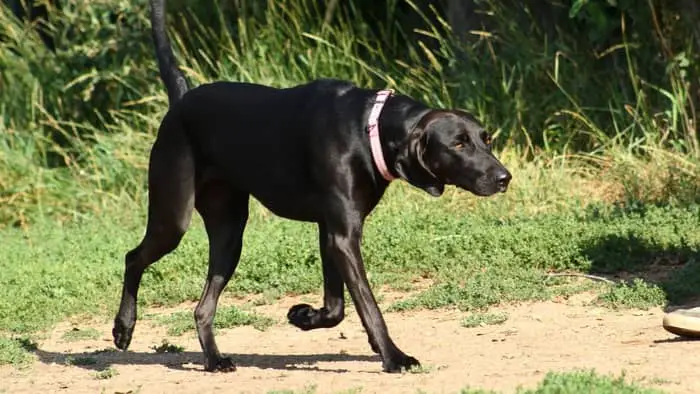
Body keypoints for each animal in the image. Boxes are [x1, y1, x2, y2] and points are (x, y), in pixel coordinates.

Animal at [112, 0, 512, 372]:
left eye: (485, 139)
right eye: (458, 144)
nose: (504, 177)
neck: (369, 128)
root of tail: (181, 100)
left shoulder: (330, 232)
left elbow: (337, 307)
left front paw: (305, 317)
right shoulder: (343, 237)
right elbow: (368, 305)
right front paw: (394, 356)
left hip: (229, 234)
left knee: (202, 307)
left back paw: (214, 359)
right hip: (173, 218)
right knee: (133, 257)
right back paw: (123, 328)